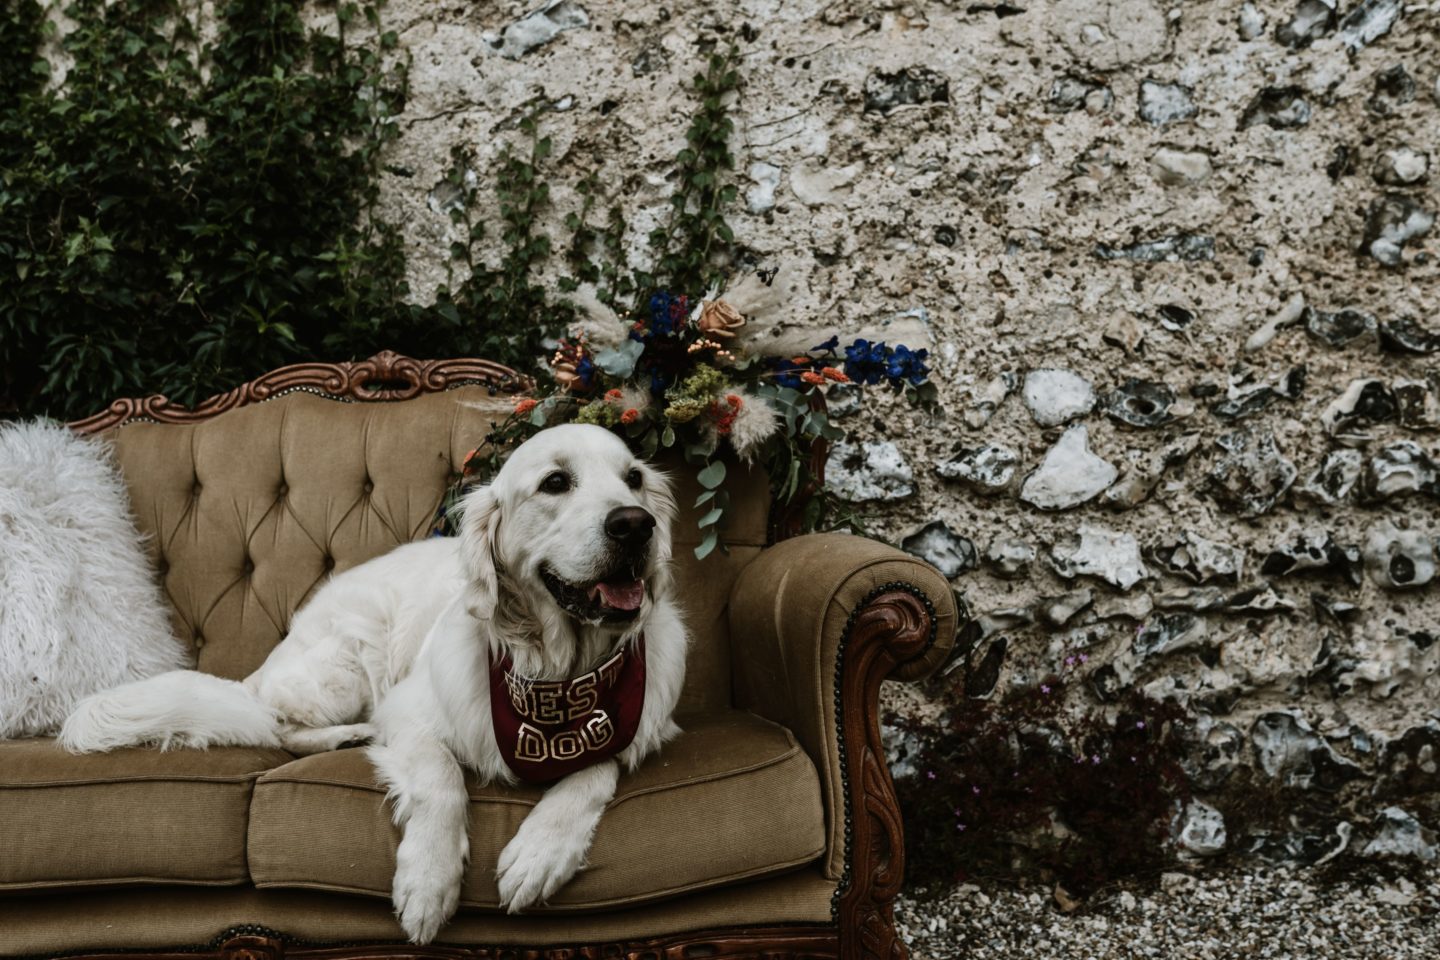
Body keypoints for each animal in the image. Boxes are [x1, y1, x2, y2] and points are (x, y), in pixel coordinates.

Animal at [57, 423, 685, 944]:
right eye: (556, 482)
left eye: (633, 479)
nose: (636, 524)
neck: (554, 671)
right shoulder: (410, 712)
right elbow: (440, 778)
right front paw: (428, 882)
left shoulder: (639, 721)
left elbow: (595, 767)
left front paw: (540, 851)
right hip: (349, 665)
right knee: (279, 723)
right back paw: (346, 736)